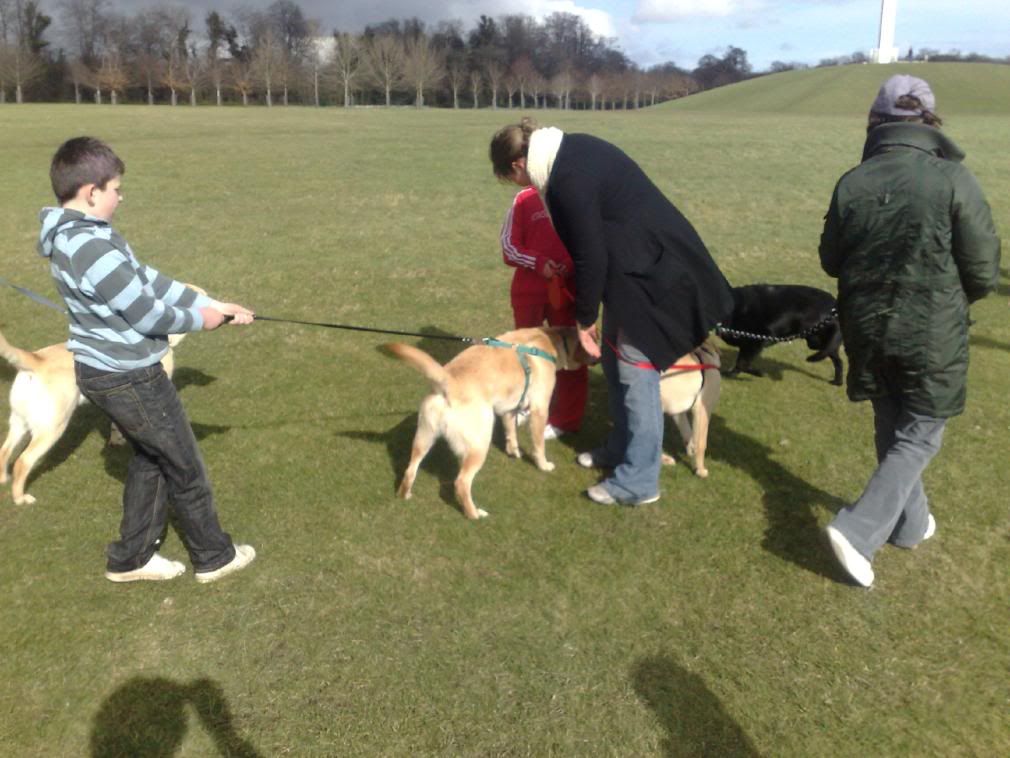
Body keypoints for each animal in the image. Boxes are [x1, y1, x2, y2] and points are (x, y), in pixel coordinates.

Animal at [385, 327, 589, 521]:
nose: (595, 359)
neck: (551, 337)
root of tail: (448, 383)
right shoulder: (540, 409)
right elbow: (539, 445)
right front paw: (544, 465)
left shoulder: (508, 408)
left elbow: (510, 431)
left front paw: (514, 451)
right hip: (479, 443)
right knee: (461, 482)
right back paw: (474, 514)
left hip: (424, 438)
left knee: (410, 470)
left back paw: (404, 494)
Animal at [658, 339, 723, 477]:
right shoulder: (702, 409)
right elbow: (701, 443)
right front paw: (700, 470)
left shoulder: (677, 411)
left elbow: (687, 431)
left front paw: (691, 449)